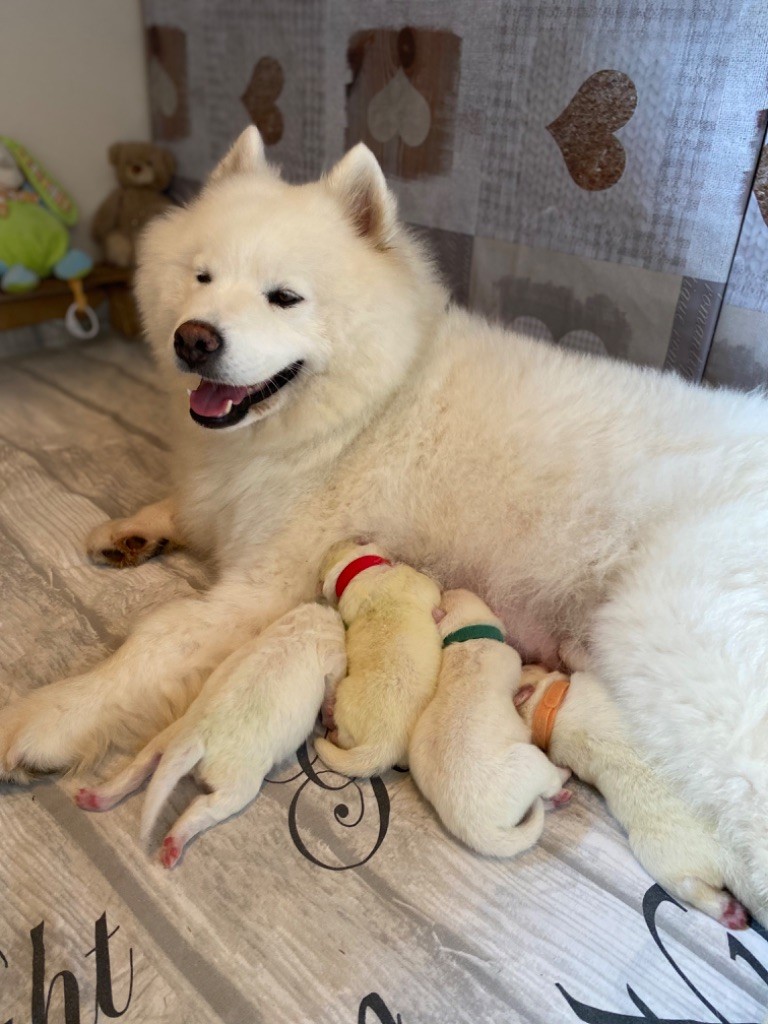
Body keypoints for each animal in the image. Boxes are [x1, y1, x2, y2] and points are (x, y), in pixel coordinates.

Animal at [74, 602, 346, 868]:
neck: (304, 626)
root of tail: (195, 741)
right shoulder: (333, 658)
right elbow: (331, 689)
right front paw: (330, 720)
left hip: (167, 739)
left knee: (139, 766)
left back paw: (96, 798)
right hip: (238, 785)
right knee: (204, 807)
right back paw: (173, 843)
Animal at [409, 589, 573, 860]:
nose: (447, 589)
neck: (468, 640)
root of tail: (478, 829)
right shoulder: (512, 658)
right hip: (530, 762)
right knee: (549, 784)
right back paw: (564, 777)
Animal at [514, 663, 749, 929]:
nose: (528, 662)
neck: (546, 712)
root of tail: (729, 858)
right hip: (658, 856)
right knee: (690, 886)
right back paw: (730, 911)